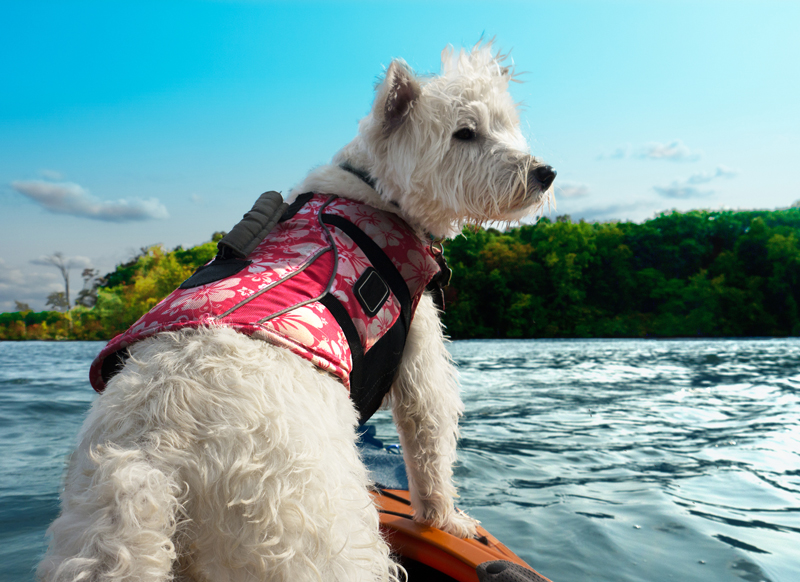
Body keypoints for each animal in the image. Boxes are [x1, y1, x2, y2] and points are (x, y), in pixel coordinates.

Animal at [39, 44, 556, 582]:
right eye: (464, 132)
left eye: (504, 124)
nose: (546, 174)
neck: (377, 190)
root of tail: (152, 463)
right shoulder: (419, 353)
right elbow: (429, 443)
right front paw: (447, 520)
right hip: (317, 540)